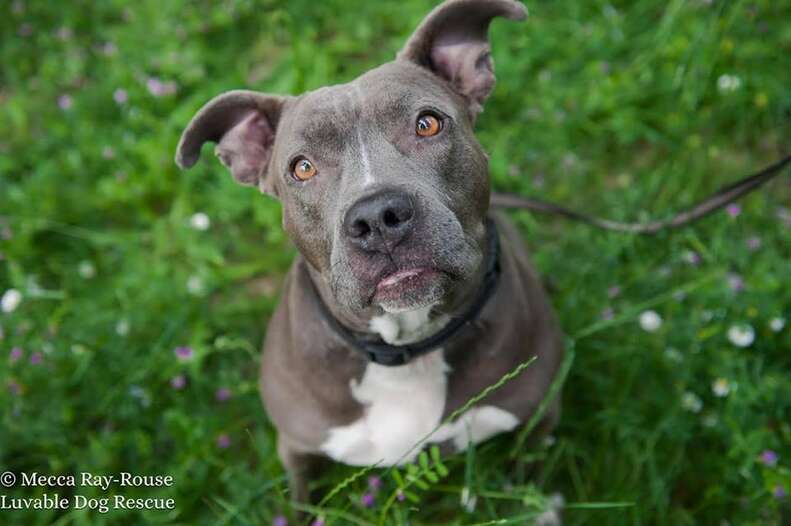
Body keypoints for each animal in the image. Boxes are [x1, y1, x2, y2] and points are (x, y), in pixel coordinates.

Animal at [177, 0, 568, 508]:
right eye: (302, 168)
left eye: (427, 123)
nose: (378, 217)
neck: (407, 348)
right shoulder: (296, 447)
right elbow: (300, 503)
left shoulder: (540, 415)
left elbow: (534, 483)